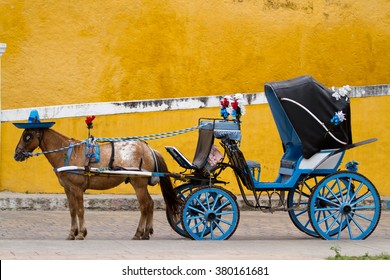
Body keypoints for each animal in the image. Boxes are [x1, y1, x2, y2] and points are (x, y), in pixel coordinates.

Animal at [14, 128, 179, 240]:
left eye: (27, 137)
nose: (16, 154)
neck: (67, 154)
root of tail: (149, 149)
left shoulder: (77, 188)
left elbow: (80, 210)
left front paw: (81, 233)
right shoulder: (68, 189)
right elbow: (72, 211)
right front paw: (72, 233)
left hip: (138, 183)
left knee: (145, 205)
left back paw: (139, 233)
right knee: (150, 204)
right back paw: (146, 232)